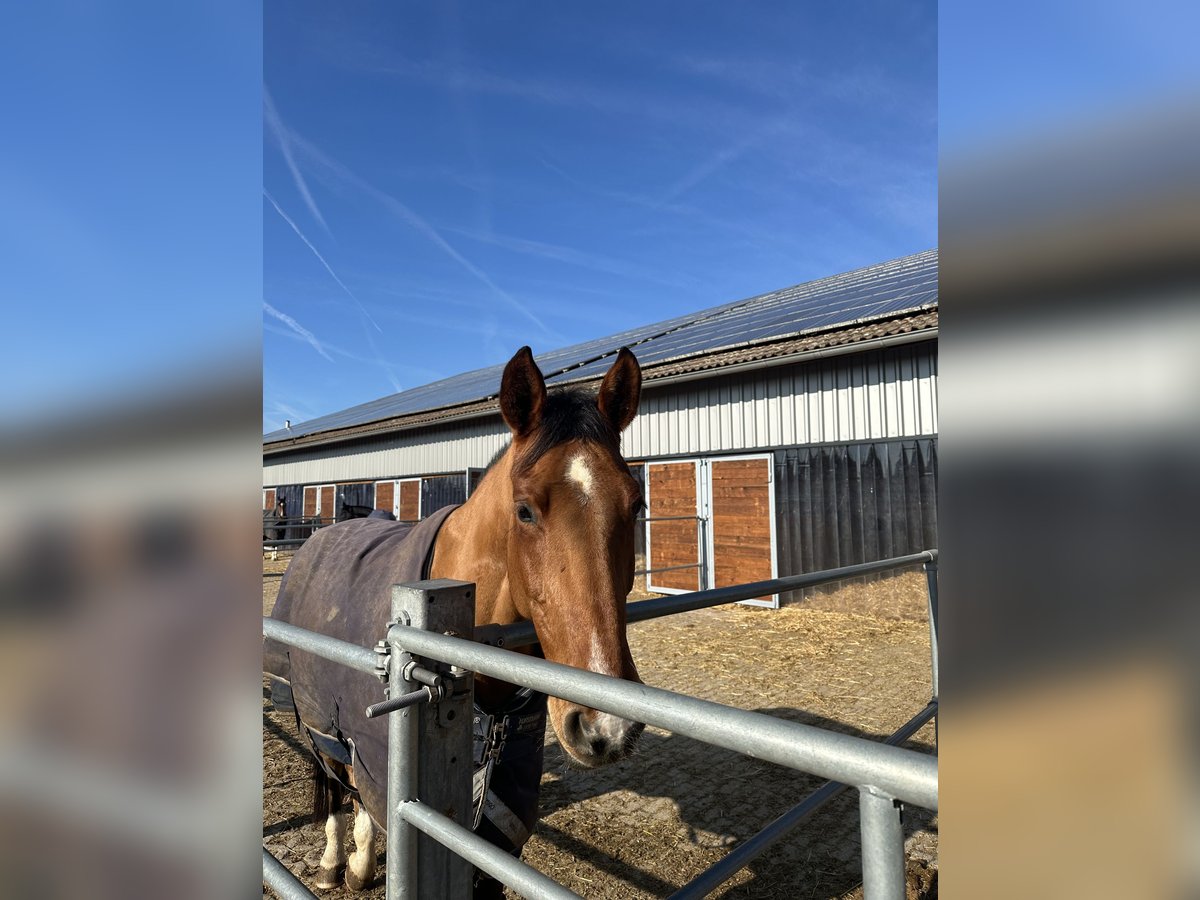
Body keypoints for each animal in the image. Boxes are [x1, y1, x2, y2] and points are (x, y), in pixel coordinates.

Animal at [266, 345, 648, 897]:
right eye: (524, 510)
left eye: (635, 504)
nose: (607, 727)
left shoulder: (500, 825)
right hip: (320, 717)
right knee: (337, 784)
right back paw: (337, 860)